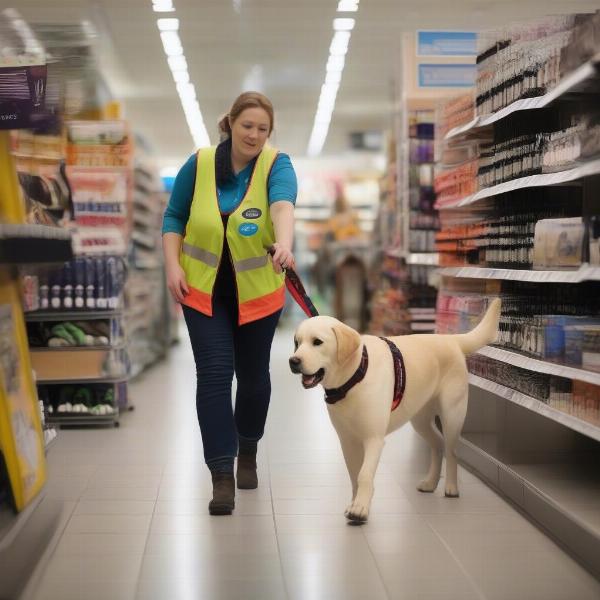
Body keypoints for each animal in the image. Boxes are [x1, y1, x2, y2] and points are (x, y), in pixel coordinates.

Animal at [290, 298, 502, 520]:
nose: (293, 361)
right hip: (420, 419)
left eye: (317, 342)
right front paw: (355, 503)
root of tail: (451, 340)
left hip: (452, 415)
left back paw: (451, 487)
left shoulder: (373, 439)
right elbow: (354, 475)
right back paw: (430, 482)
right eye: (297, 342)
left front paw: (360, 508)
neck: (355, 376)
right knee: (438, 444)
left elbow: (364, 474)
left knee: (452, 451)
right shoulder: (347, 441)